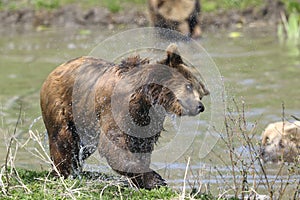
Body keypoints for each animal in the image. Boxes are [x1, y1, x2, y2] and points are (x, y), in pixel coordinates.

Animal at [39, 43, 209, 189]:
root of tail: (55, 70)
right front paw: (155, 179)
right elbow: (114, 144)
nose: (200, 106)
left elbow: (142, 145)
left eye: (200, 92)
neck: (145, 97)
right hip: (62, 105)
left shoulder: (146, 119)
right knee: (63, 140)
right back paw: (63, 172)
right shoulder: (117, 108)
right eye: (189, 86)